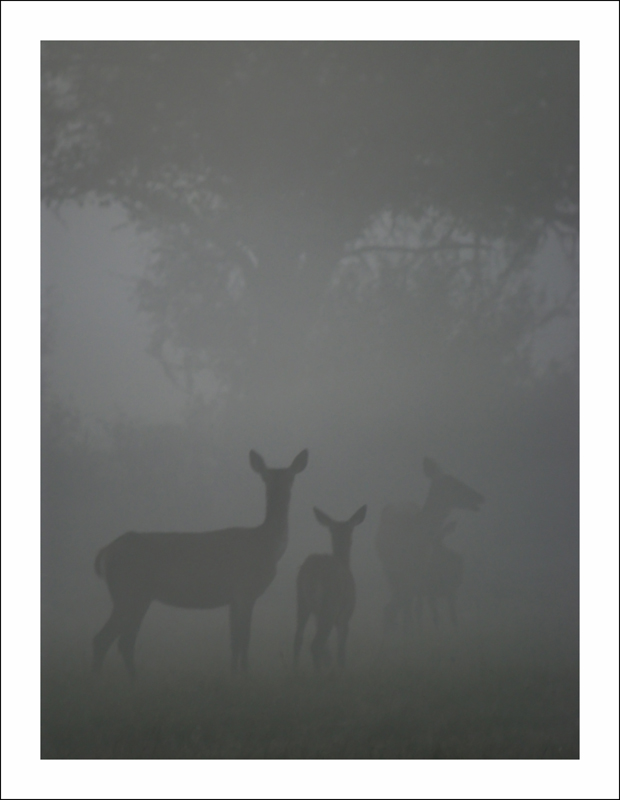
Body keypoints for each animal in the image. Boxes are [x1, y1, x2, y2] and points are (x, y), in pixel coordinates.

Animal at [93, 448, 308, 677]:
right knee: (108, 639)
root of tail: (107, 550)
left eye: (290, 478)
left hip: (136, 596)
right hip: (129, 591)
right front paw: (244, 674)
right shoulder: (245, 591)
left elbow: (234, 641)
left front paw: (233, 674)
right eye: (265, 478)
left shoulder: (234, 598)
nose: (278, 492)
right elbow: (244, 639)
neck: (268, 547)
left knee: (119, 641)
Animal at [293, 505, 367, 671]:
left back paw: (296, 671)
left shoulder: (317, 614)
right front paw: (341, 670)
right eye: (351, 530)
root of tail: (312, 573)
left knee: (298, 639)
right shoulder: (344, 616)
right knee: (315, 645)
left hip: (302, 601)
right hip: (329, 605)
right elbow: (341, 651)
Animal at [376, 457, 483, 635]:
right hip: (390, 570)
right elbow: (398, 609)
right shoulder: (399, 571)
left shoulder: (420, 571)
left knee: (406, 606)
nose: (479, 496)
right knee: (398, 607)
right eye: (452, 483)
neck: (415, 536)